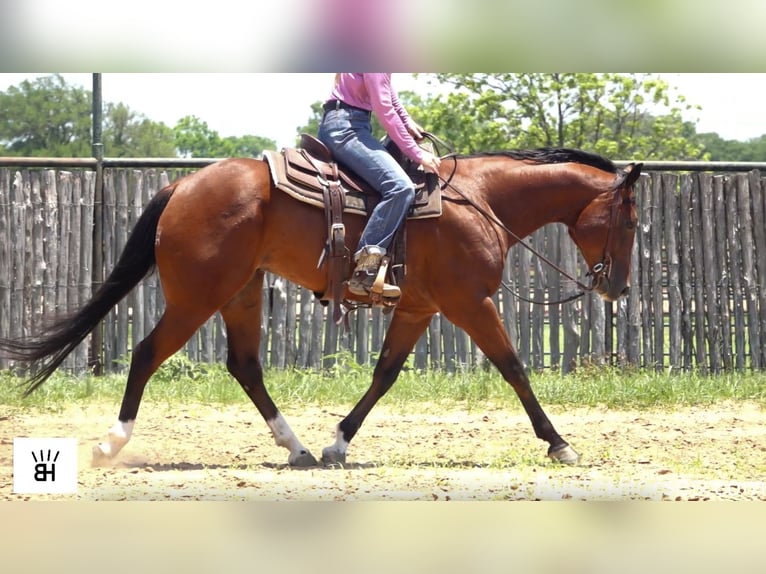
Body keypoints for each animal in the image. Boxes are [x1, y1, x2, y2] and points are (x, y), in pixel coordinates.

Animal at [0, 147, 640, 468]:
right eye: (632, 222)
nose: (618, 289)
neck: (479, 200)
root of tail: (181, 186)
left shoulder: (418, 310)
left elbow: (384, 375)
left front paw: (337, 442)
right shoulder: (471, 303)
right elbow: (514, 368)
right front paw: (559, 443)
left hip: (241, 292)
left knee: (245, 366)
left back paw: (299, 448)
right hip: (197, 296)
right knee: (147, 353)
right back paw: (111, 444)